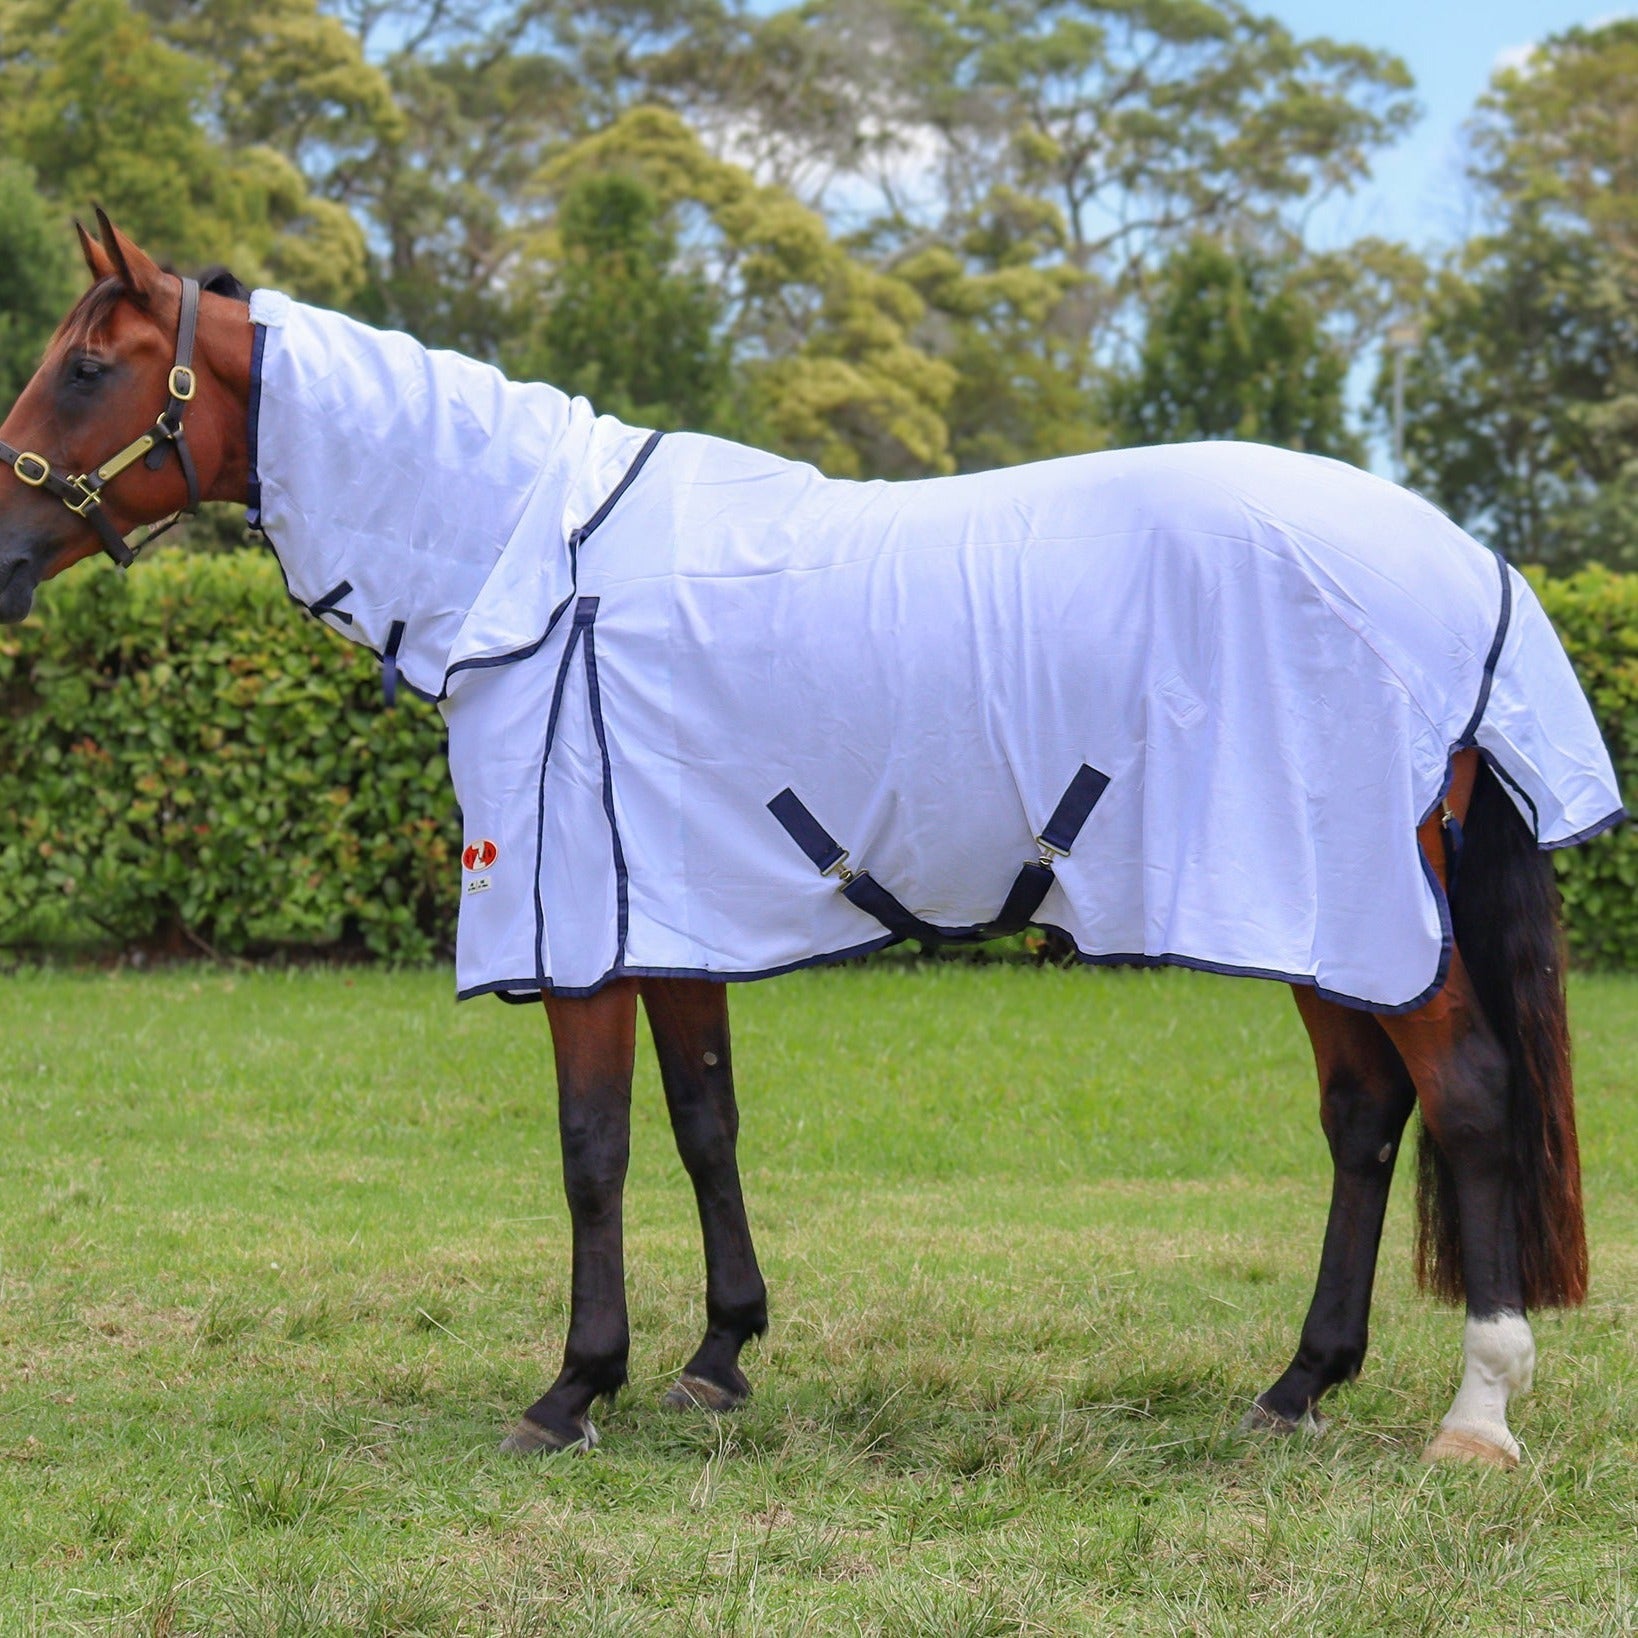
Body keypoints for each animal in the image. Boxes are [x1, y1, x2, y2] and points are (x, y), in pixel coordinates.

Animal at [0, 213, 1622, 1470]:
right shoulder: (670, 908)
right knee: (1365, 1115)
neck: (532, 556)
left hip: (1350, 902)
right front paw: (717, 1357)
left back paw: (1475, 1416)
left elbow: (593, 1148)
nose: (0, 555)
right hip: (1311, 912)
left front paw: (571, 1388)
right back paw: (1296, 1384)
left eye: (87, 365)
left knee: (1467, 1096)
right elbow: (702, 1120)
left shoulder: (575, 929)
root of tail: (1468, 566)